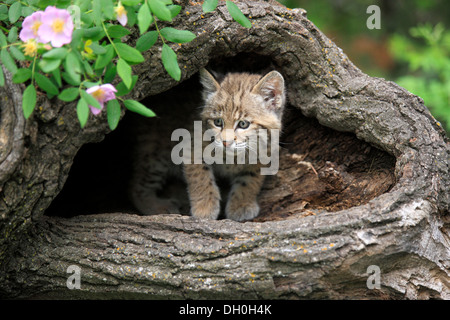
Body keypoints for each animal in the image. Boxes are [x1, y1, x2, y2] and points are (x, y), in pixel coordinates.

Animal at [185, 69, 286, 221]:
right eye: (218, 122)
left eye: (243, 124)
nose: (226, 142)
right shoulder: (190, 145)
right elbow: (199, 176)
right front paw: (205, 208)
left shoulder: (264, 153)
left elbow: (250, 180)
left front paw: (241, 205)